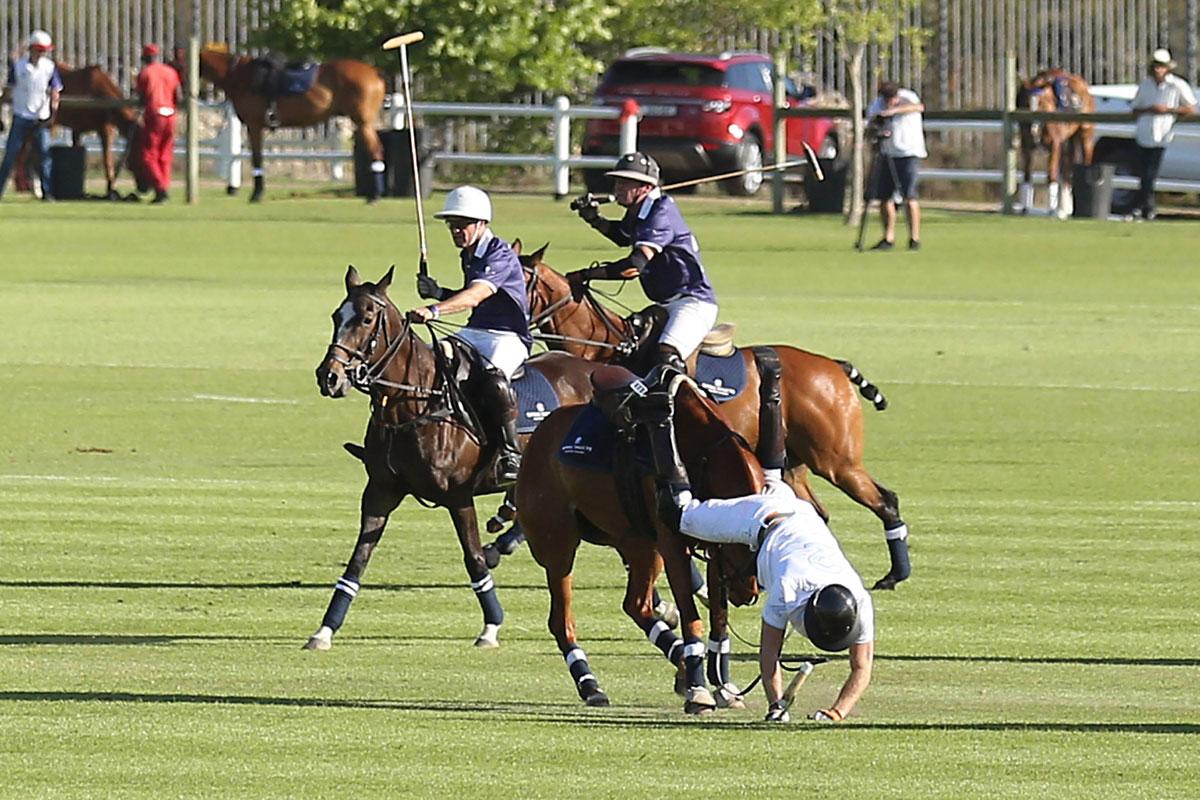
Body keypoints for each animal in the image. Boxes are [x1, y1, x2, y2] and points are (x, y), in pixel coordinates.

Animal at [187, 48, 386, 203]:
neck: (240, 76)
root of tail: (375, 73)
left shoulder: (254, 126)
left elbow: (257, 158)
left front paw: (257, 193)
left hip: (363, 123)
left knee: (375, 151)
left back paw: (374, 196)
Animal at [309, 266, 604, 652]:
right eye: (336, 316)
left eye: (367, 319)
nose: (329, 377)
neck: (415, 403)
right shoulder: (380, 491)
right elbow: (357, 562)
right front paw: (324, 630)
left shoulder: (457, 496)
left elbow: (474, 559)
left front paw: (491, 627)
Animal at [513, 367, 758, 710]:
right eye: (747, 544)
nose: (748, 593)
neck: (701, 450)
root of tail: (536, 435)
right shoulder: (674, 544)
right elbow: (692, 617)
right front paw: (699, 689)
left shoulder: (711, 546)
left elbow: (719, 619)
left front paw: (722, 685)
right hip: (559, 545)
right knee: (562, 620)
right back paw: (590, 684)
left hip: (639, 544)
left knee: (636, 605)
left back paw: (680, 664)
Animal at [516, 247, 907, 592]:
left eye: (520, 285)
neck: (611, 349)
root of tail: (834, 366)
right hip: (794, 463)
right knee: (816, 511)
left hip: (836, 460)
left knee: (884, 500)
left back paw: (893, 575)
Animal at [1017, 69, 1094, 217]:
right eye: (1026, 103)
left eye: (1040, 103)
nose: (1033, 128)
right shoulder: (1026, 147)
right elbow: (1027, 175)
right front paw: (1025, 208)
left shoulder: (1055, 145)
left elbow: (1051, 175)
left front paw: (1051, 209)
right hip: (1069, 142)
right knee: (1067, 170)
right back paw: (1065, 209)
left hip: (1085, 135)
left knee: (1085, 160)